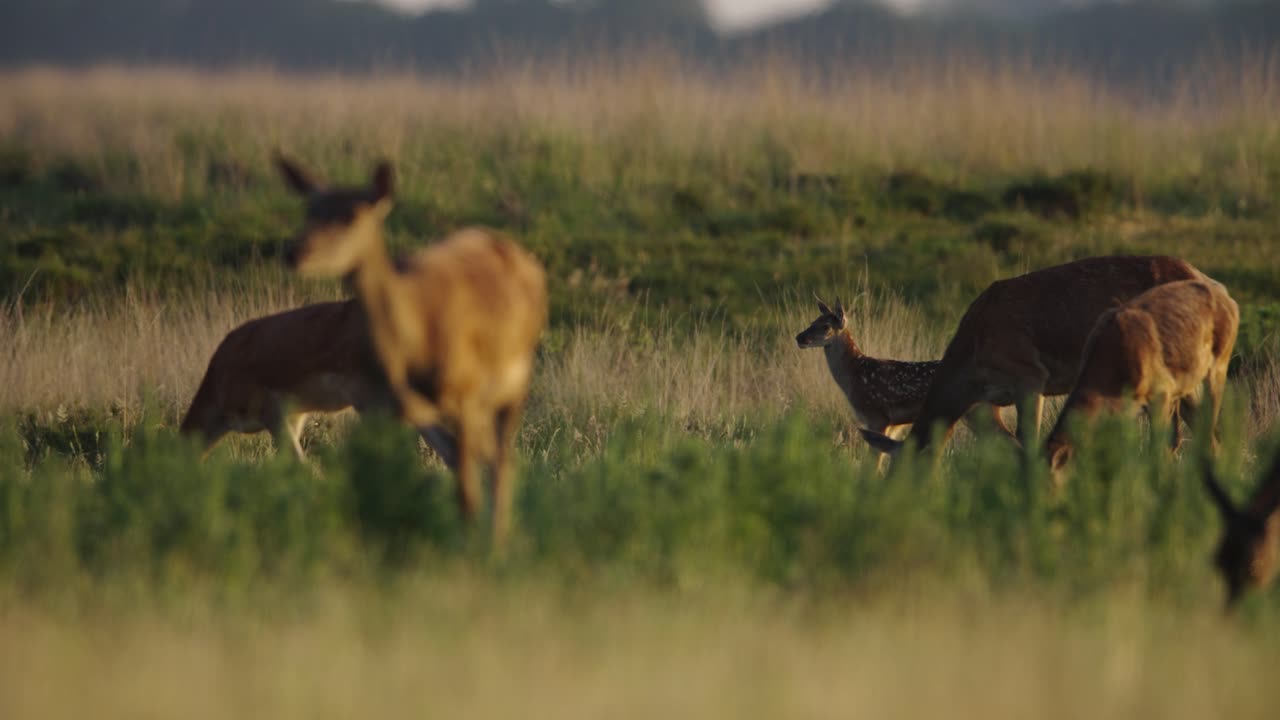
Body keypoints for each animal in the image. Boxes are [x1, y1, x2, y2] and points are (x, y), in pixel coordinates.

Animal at [275, 154, 548, 550]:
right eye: (309, 209)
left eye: (352, 215)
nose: (295, 251)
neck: (419, 343)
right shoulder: (386, 402)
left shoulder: (466, 395)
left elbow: (467, 489)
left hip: (514, 385)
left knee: (500, 462)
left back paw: (499, 537)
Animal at [795, 296, 1016, 469]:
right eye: (813, 321)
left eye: (825, 326)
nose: (799, 337)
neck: (855, 375)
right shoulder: (893, 424)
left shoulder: (877, 416)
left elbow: (872, 464)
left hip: (980, 412)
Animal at [1044, 279, 1239, 473]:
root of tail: (1229, 299)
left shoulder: (1162, 391)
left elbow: (1159, 449)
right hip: (1188, 384)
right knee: (1208, 436)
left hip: (1219, 366)